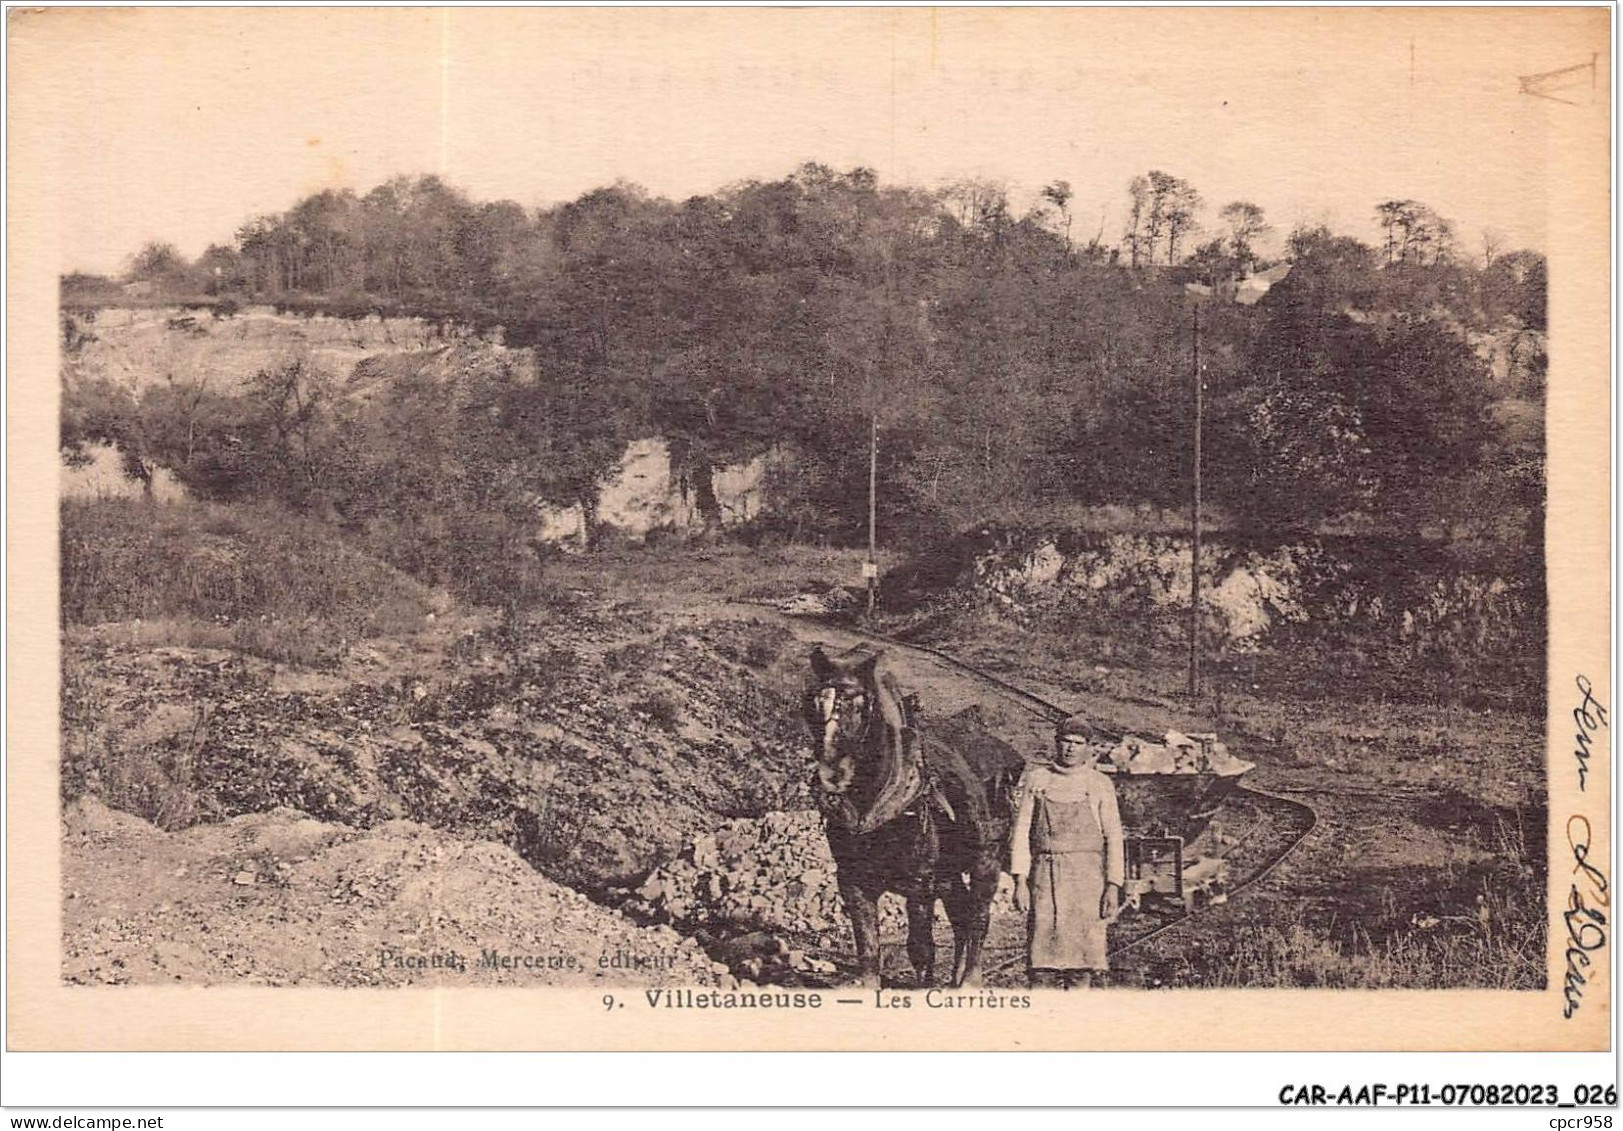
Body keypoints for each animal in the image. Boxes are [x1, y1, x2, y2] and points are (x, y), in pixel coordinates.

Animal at [805, 642, 1019, 986]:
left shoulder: (920, 887)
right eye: (811, 706)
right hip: (947, 874)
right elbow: (868, 951)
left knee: (977, 916)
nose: (829, 782)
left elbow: (921, 950)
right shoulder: (852, 881)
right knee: (960, 913)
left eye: (858, 708)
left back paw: (970, 978)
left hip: (987, 860)